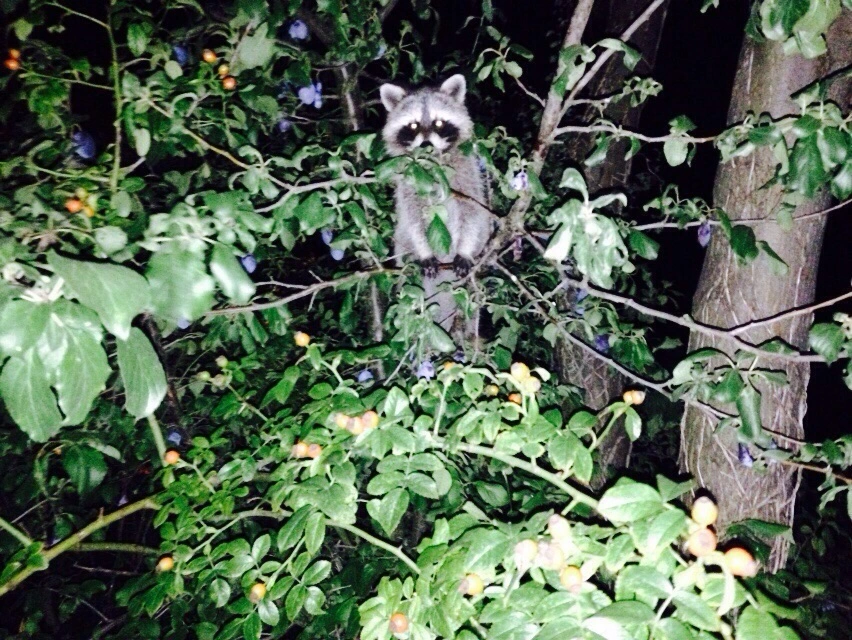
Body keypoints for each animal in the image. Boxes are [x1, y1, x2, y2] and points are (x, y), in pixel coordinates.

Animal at [380, 74, 492, 329]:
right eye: (413, 126)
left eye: (439, 123)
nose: (426, 145)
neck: (432, 163)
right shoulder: (409, 181)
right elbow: (412, 217)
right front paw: (424, 252)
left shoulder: (467, 176)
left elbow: (473, 212)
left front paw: (465, 251)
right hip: (402, 249)